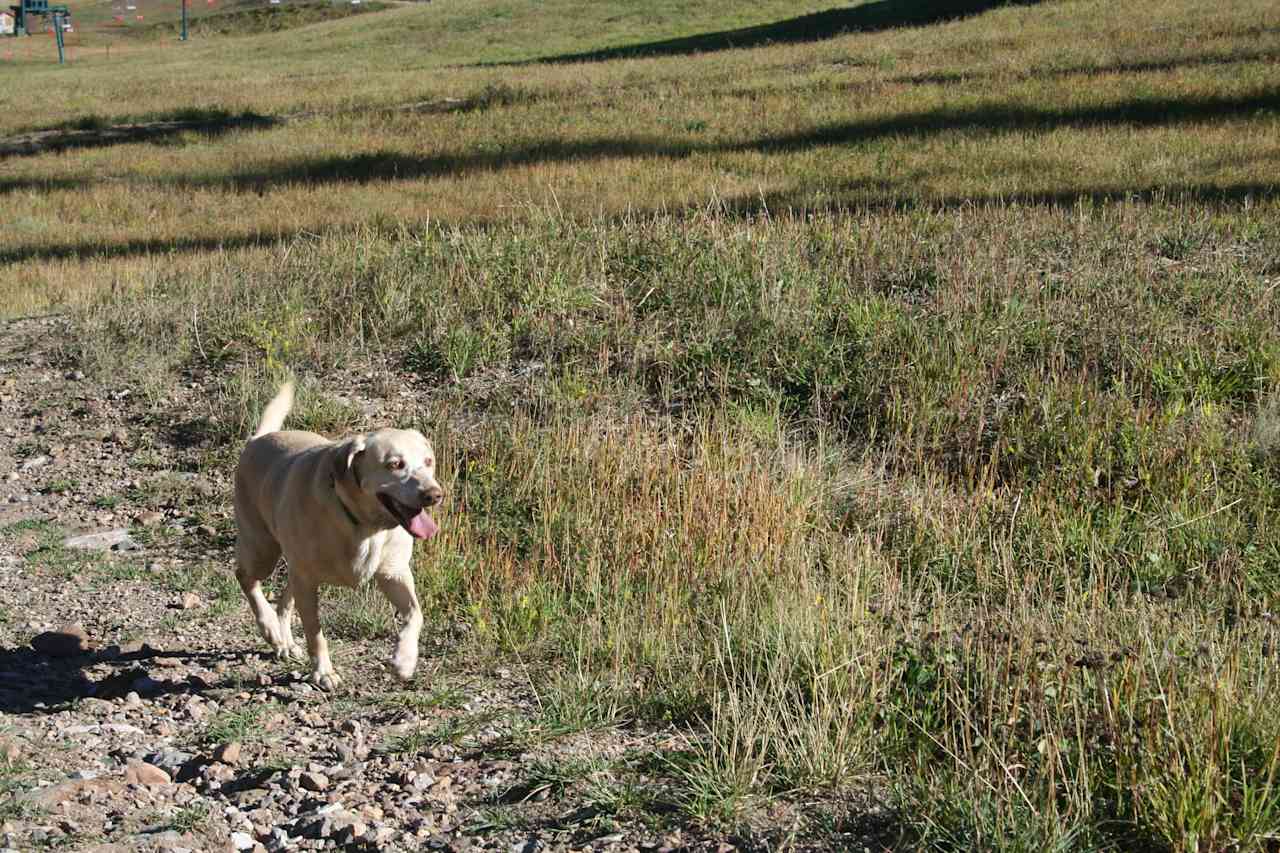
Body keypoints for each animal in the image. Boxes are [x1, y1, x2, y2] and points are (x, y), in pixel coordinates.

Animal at [232, 381, 442, 686]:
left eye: (428, 461)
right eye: (394, 464)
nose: (434, 494)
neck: (364, 525)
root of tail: (257, 439)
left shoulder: (394, 574)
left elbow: (416, 615)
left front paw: (404, 660)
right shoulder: (308, 580)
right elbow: (315, 632)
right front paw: (324, 672)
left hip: (292, 565)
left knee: (285, 596)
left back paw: (285, 640)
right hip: (263, 550)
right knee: (246, 577)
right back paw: (270, 628)